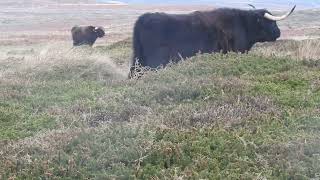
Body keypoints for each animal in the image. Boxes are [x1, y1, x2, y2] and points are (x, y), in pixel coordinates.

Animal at [129, 5, 296, 77]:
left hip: (138, 61)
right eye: (272, 22)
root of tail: (143, 19)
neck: (244, 24)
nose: (279, 32)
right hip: (155, 64)